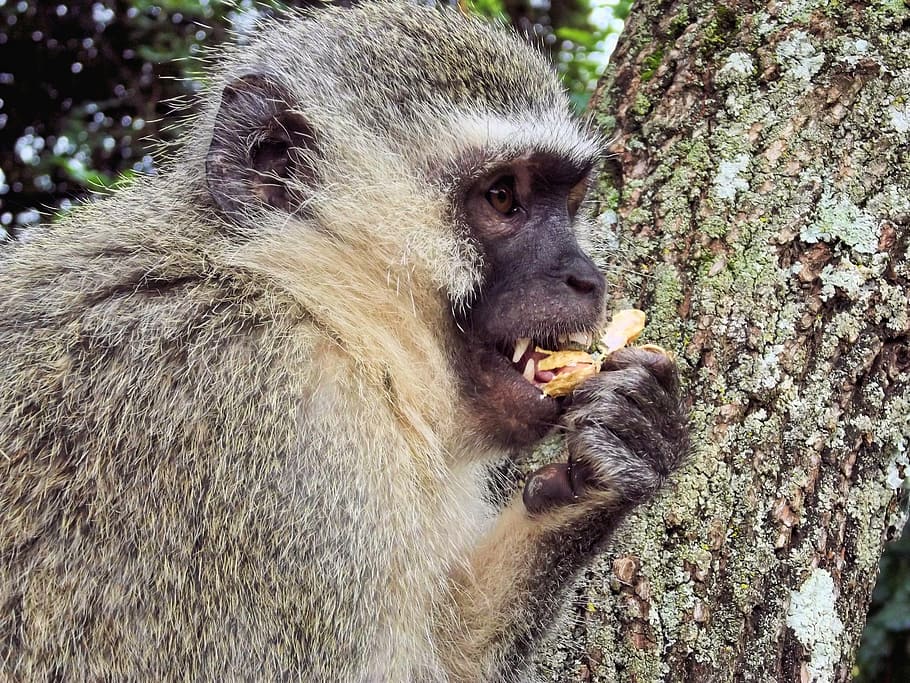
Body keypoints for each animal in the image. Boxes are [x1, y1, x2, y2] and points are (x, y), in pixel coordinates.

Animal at [0, 3, 688, 681]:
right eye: (502, 197)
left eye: (568, 199)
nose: (586, 278)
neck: (315, 303)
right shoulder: (272, 431)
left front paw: (623, 445)